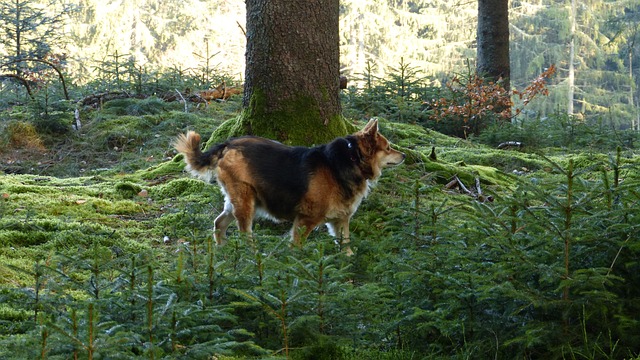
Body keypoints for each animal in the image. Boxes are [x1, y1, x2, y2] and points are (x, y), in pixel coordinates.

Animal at [174, 119, 404, 255]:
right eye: (388, 148)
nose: (404, 155)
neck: (350, 159)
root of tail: (228, 144)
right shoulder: (306, 220)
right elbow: (297, 247)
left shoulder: (341, 220)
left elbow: (345, 245)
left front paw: (348, 265)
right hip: (246, 202)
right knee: (244, 232)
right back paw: (252, 256)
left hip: (236, 202)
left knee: (219, 223)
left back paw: (222, 251)